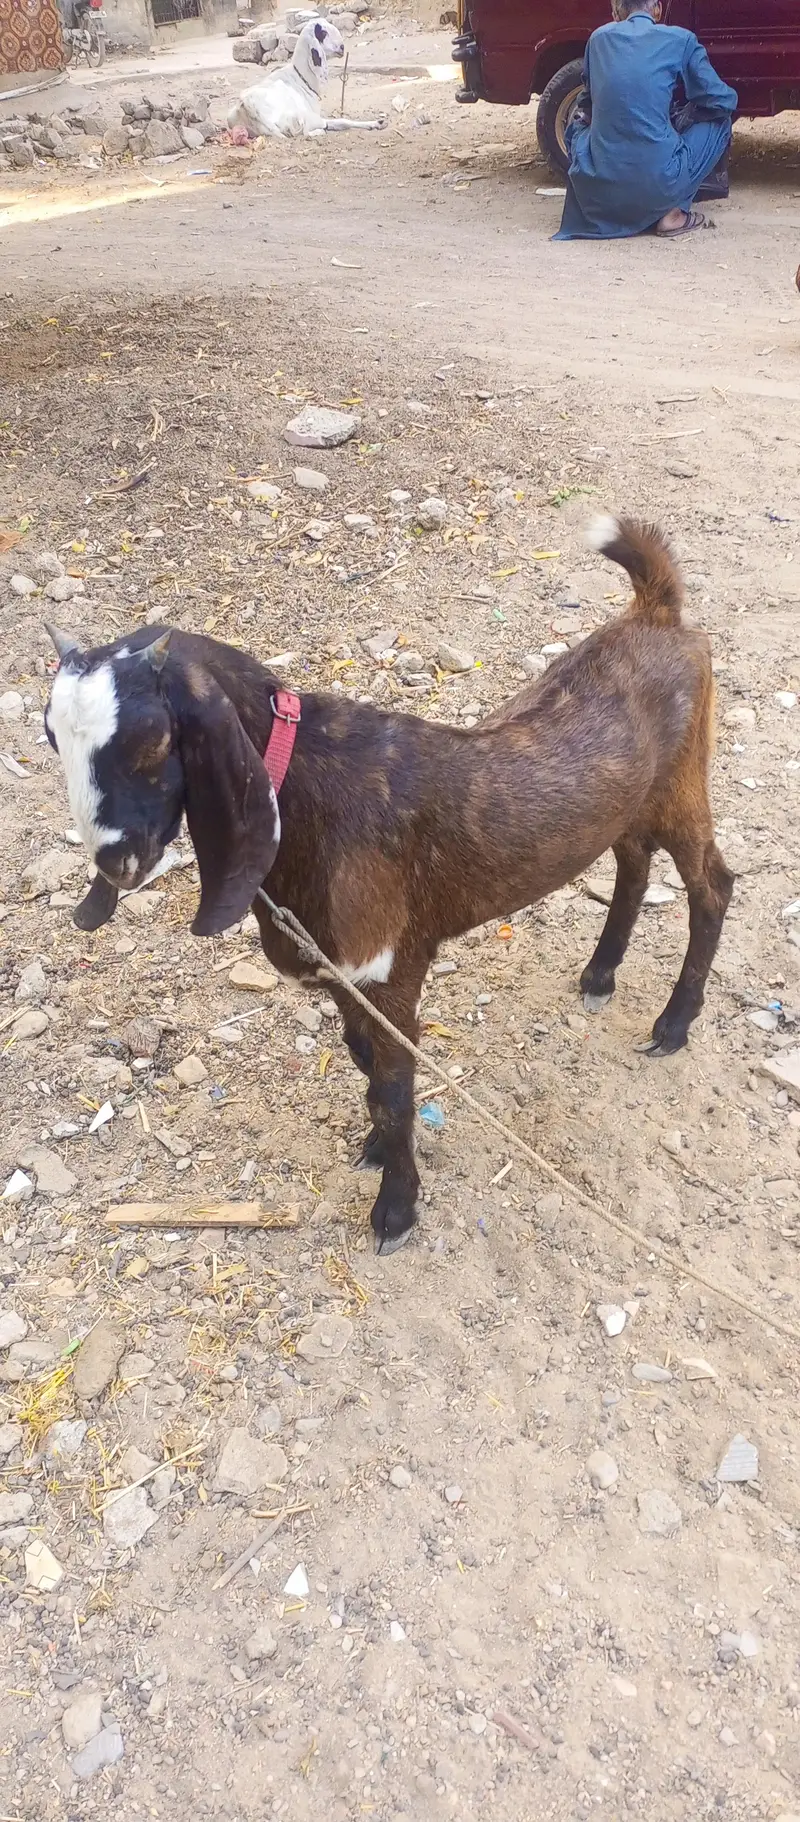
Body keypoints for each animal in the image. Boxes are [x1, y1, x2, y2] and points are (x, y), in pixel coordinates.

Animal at [43, 517, 733, 1257]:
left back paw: (673, 1024)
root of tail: (658, 613)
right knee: (633, 861)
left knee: (712, 885)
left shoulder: (391, 968)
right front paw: (377, 1151)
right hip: (633, 803)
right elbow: (364, 1061)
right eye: (52, 739)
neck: (310, 796)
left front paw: (397, 1210)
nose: (115, 862)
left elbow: (395, 1088)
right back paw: (601, 975)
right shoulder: (343, 974)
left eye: (151, 741)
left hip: (684, 783)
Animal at [228, 18, 387, 140]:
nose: (342, 48)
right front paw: (378, 122)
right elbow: (341, 121)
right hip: (302, 119)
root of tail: (249, 108)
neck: (301, 78)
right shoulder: (311, 118)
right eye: (323, 33)